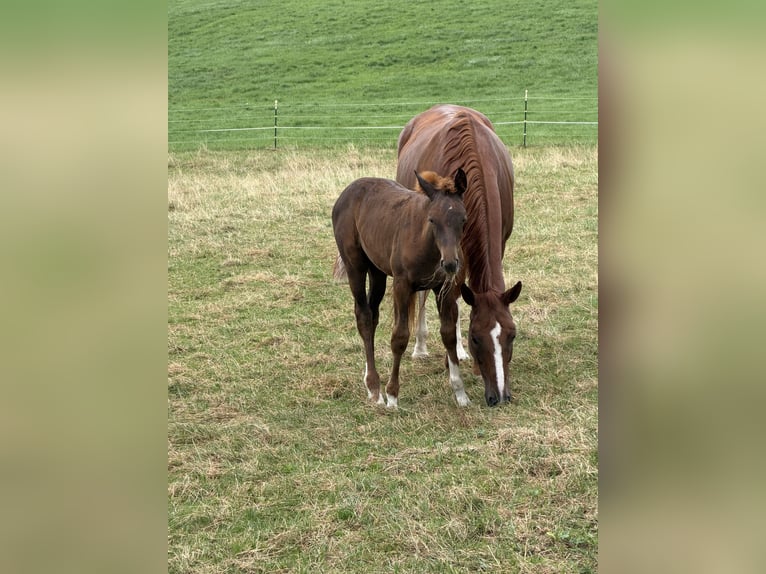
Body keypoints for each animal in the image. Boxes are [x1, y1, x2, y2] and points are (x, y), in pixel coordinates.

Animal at [332, 169, 470, 408]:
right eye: (432, 220)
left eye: (462, 219)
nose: (450, 264)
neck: (427, 245)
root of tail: (348, 190)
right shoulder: (402, 286)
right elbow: (400, 336)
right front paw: (393, 395)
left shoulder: (443, 288)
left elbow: (448, 334)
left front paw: (460, 392)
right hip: (354, 265)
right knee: (363, 316)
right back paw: (374, 387)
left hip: (377, 271)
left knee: (372, 316)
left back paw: (369, 381)